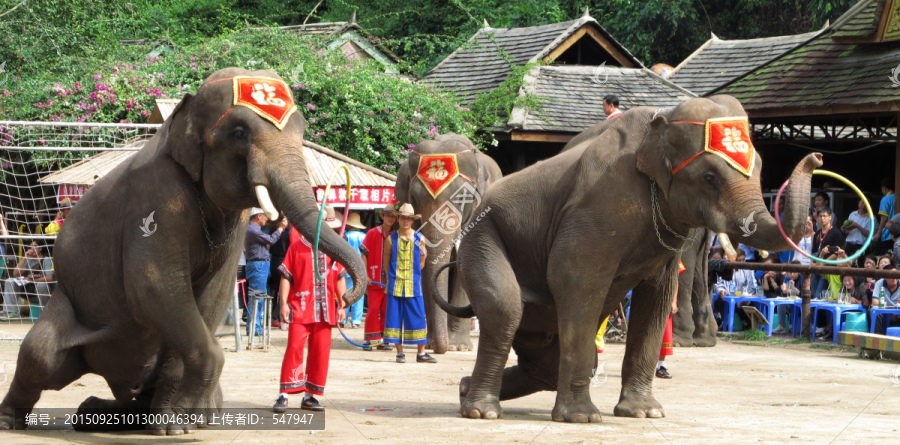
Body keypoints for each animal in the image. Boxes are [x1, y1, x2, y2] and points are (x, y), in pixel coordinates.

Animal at [0, 67, 368, 432]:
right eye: (239, 133)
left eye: (302, 130)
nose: (347, 297)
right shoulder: (156, 194)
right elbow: (154, 285)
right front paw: (183, 421)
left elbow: (210, 295)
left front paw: (180, 421)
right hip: (68, 304)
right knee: (39, 353)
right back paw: (15, 420)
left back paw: (103, 415)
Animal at [432, 95, 820, 422]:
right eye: (709, 176)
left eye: (760, 167)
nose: (816, 157)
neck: (661, 119)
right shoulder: (598, 207)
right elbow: (574, 277)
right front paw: (583, 419)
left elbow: (658, 296)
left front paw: (645, 413)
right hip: (481, 237)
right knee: (505, 309)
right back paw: (481, 410)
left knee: (544, 361)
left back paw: (465, 390)